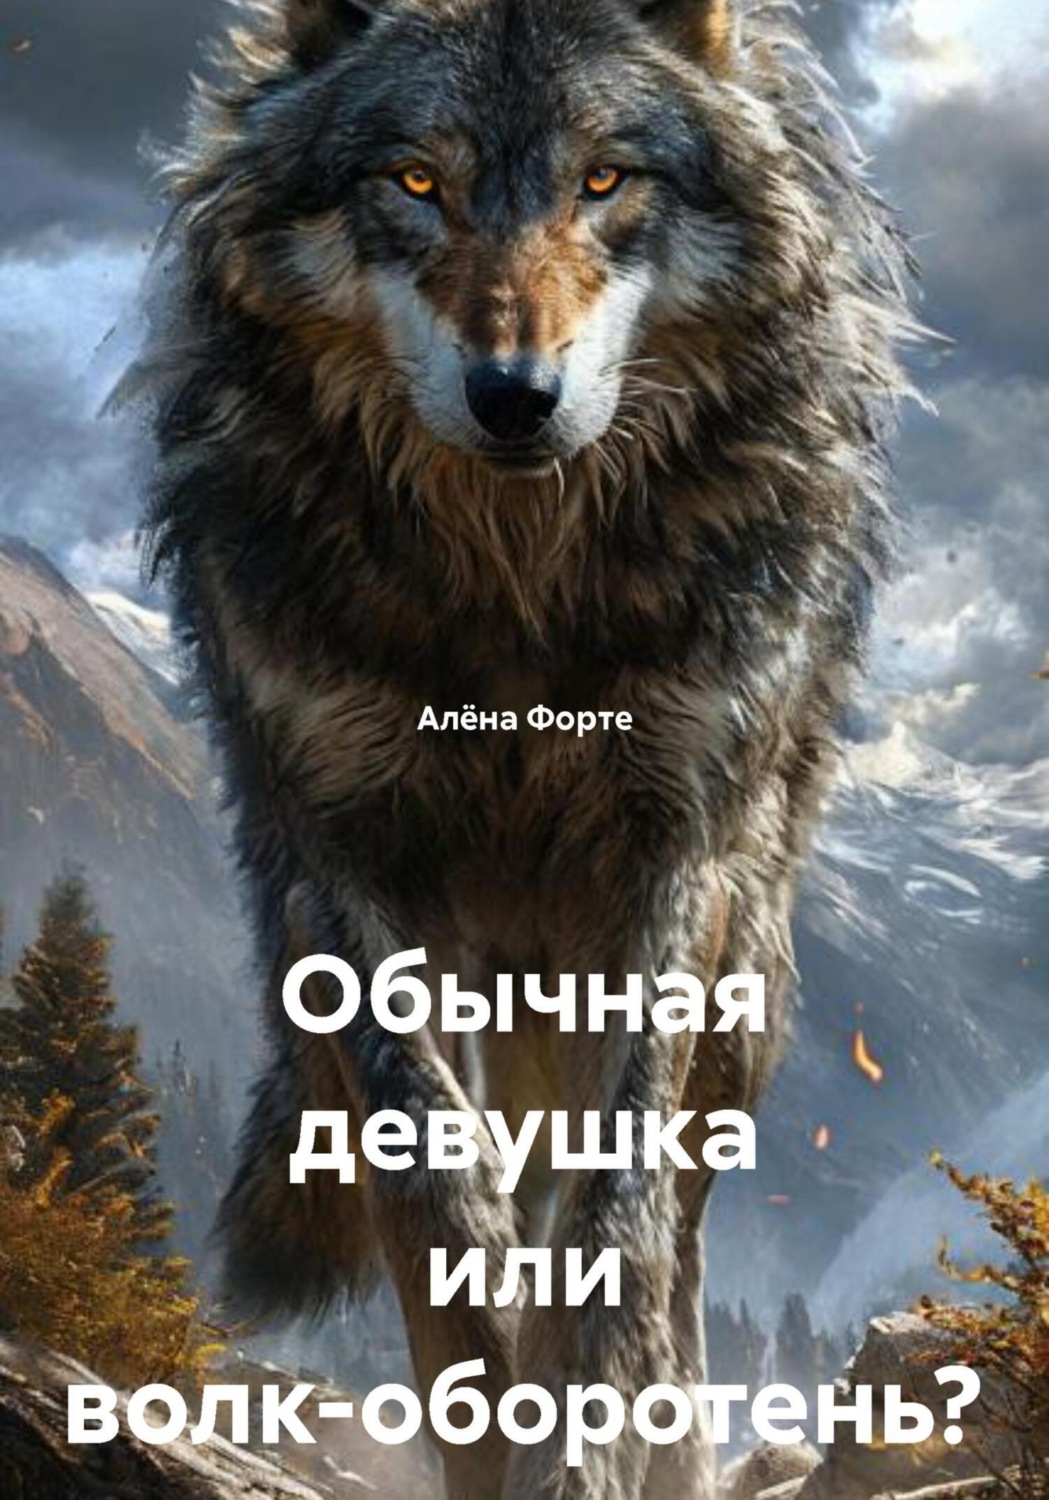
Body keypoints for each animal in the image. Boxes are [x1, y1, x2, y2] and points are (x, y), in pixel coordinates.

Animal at [141, 0, 911, 1495]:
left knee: (673, 1238)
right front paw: (493, 1410)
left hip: (741, 978)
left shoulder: (673, 864)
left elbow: (617, 1221)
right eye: (415, 182)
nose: (514, 395)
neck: (514, 592)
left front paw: (583, 1441)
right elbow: (436, 1197)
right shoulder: (342, 869)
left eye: (603, 180)